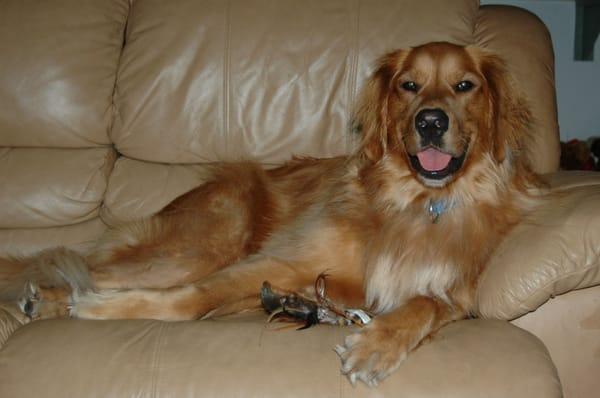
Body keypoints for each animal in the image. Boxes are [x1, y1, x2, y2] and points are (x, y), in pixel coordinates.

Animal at [0, 42, 544, 386]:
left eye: (465, 85)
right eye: (408, 85)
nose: (431, 122)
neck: (414, 203)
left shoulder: (456, 294)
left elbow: (425, 305)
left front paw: (377, 345)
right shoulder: (281, 263)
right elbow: (191, 300)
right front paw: (102, 310)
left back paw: (45, 302)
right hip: (205, 243)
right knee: (88, 269)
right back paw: (54, 299)